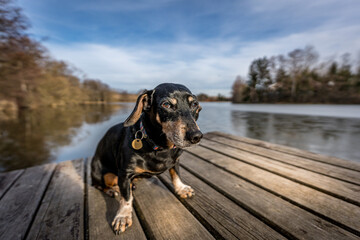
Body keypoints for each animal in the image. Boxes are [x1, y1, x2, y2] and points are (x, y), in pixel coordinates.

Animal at [90, 83, 202, 234]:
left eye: (194, 104)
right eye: (166, 105)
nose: (196, 136)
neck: (160, 147)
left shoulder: (176, 160)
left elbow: (176, 175)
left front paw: (181, 188)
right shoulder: (125, 173)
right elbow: (126, 198)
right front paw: (123, 216)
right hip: (100, 172)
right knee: (99, 185)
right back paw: (113, 190)